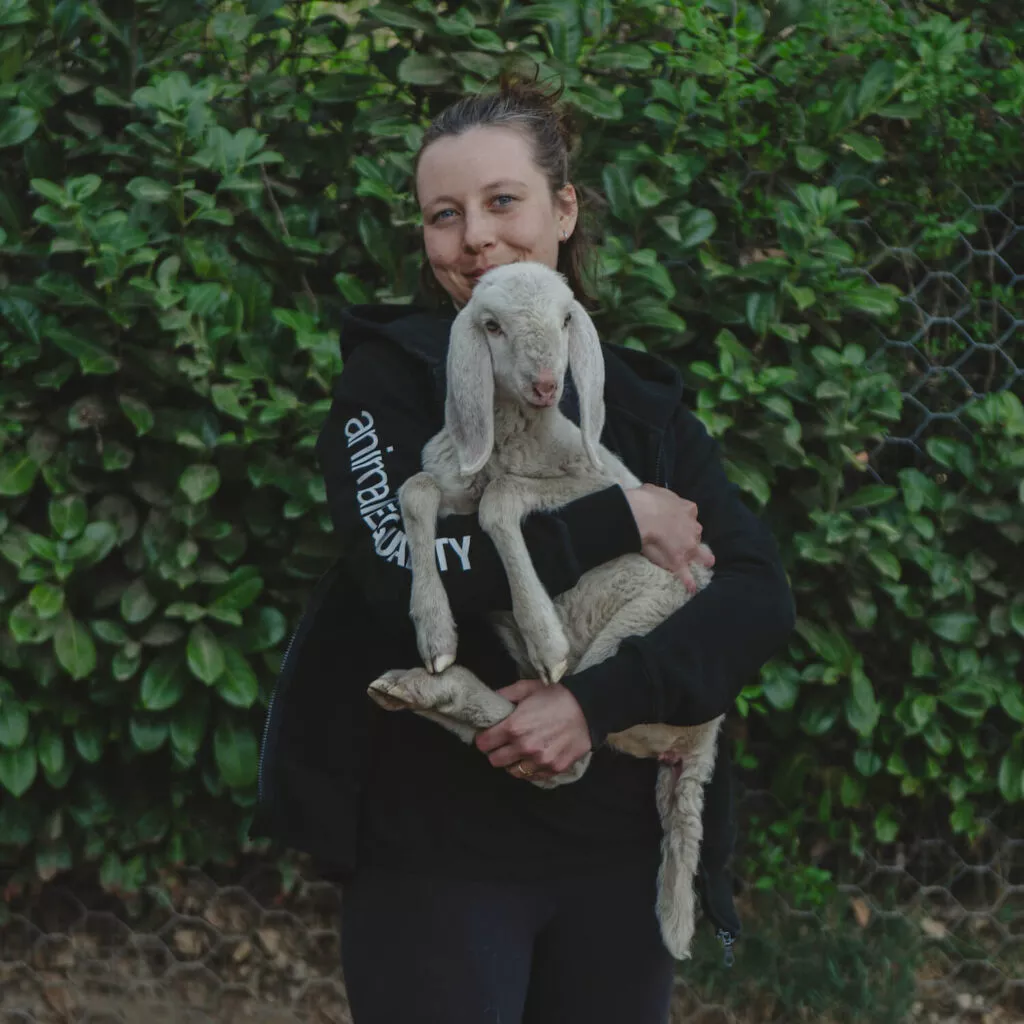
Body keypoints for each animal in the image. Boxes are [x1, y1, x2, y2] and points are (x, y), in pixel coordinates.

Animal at [364, 262, 724, 958]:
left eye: (565, 319)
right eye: (492, 325)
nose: (546, 384)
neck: (513, 437)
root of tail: (701, 747)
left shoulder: (588, 482)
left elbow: (502, 499)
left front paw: (544, 632)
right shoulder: (451, 478)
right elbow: (414, 491)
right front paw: (434, 630)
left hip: (642, 626)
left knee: (570, 751)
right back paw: (424, 688)